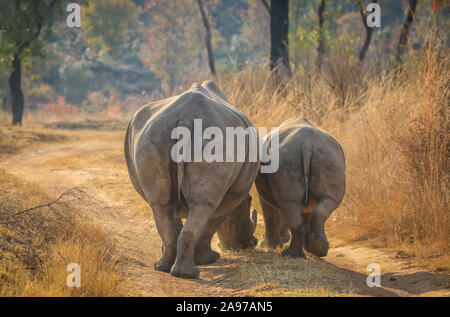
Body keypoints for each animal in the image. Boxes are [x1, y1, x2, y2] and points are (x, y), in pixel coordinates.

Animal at [255, 116, 346, 256]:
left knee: (288, 204)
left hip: (291, 157)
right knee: (326, 201)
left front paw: (269, 246)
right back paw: (319, 250)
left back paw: (291, 254)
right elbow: (303, 215)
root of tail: (307, 143)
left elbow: (269, 215)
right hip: (329, 156)